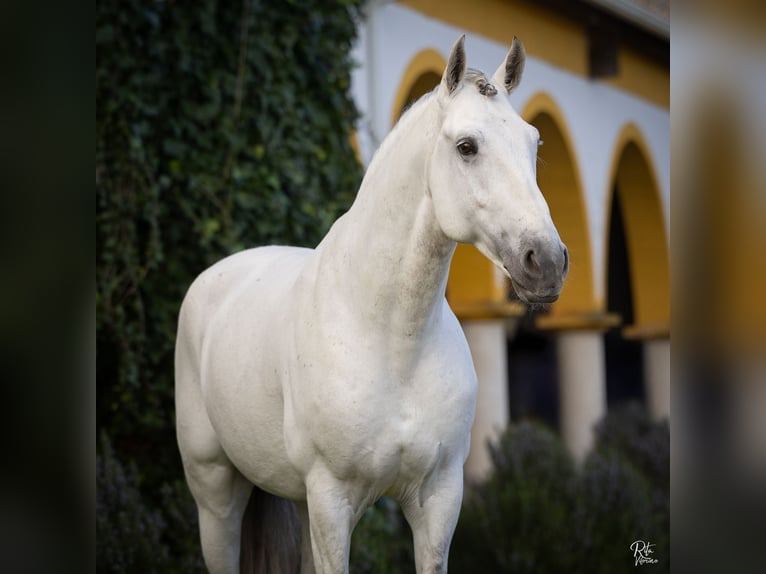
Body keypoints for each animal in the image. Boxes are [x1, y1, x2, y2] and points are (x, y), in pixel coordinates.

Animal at [175, 35, 568, 574]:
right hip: (216, 495)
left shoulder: (438, 499)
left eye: (534, 143)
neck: (391, 338)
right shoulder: (331, 501)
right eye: (467, 147)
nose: (546, 262)